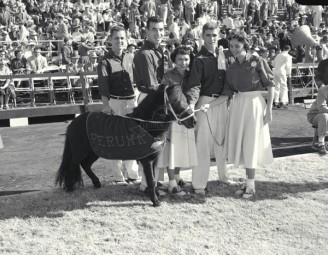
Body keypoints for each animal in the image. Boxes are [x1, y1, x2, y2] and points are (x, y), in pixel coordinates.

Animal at [55, 84, 197, 206]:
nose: (193, 121)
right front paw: (155, 201)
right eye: (176, 101)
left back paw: (96, 183)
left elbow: (153, 178)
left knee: (85, 164)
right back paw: (69, 188)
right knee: (73, 165)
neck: (144, 125)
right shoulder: (147, 160)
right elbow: (151, 180)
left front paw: (155, 195)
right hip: (80, 152)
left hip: (94, 151)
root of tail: (73, 122)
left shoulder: (153, 159)